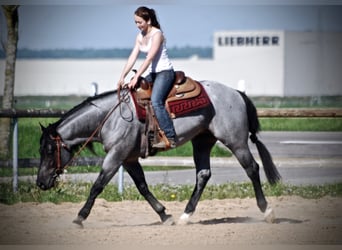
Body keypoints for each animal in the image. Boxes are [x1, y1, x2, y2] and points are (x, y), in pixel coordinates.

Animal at [36, 80, 280, 227]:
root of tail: (237, 93)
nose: (40, 183)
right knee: (203, 175)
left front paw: (80, 217)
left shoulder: (116, 155)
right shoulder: (129, 158)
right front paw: (165, 215)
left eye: (49, 150)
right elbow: (142, 187)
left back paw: (267, 211)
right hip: (202, 142)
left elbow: (97, 185)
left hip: (235, 141)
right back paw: (185, 216)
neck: (112, 117)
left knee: (252, 168)